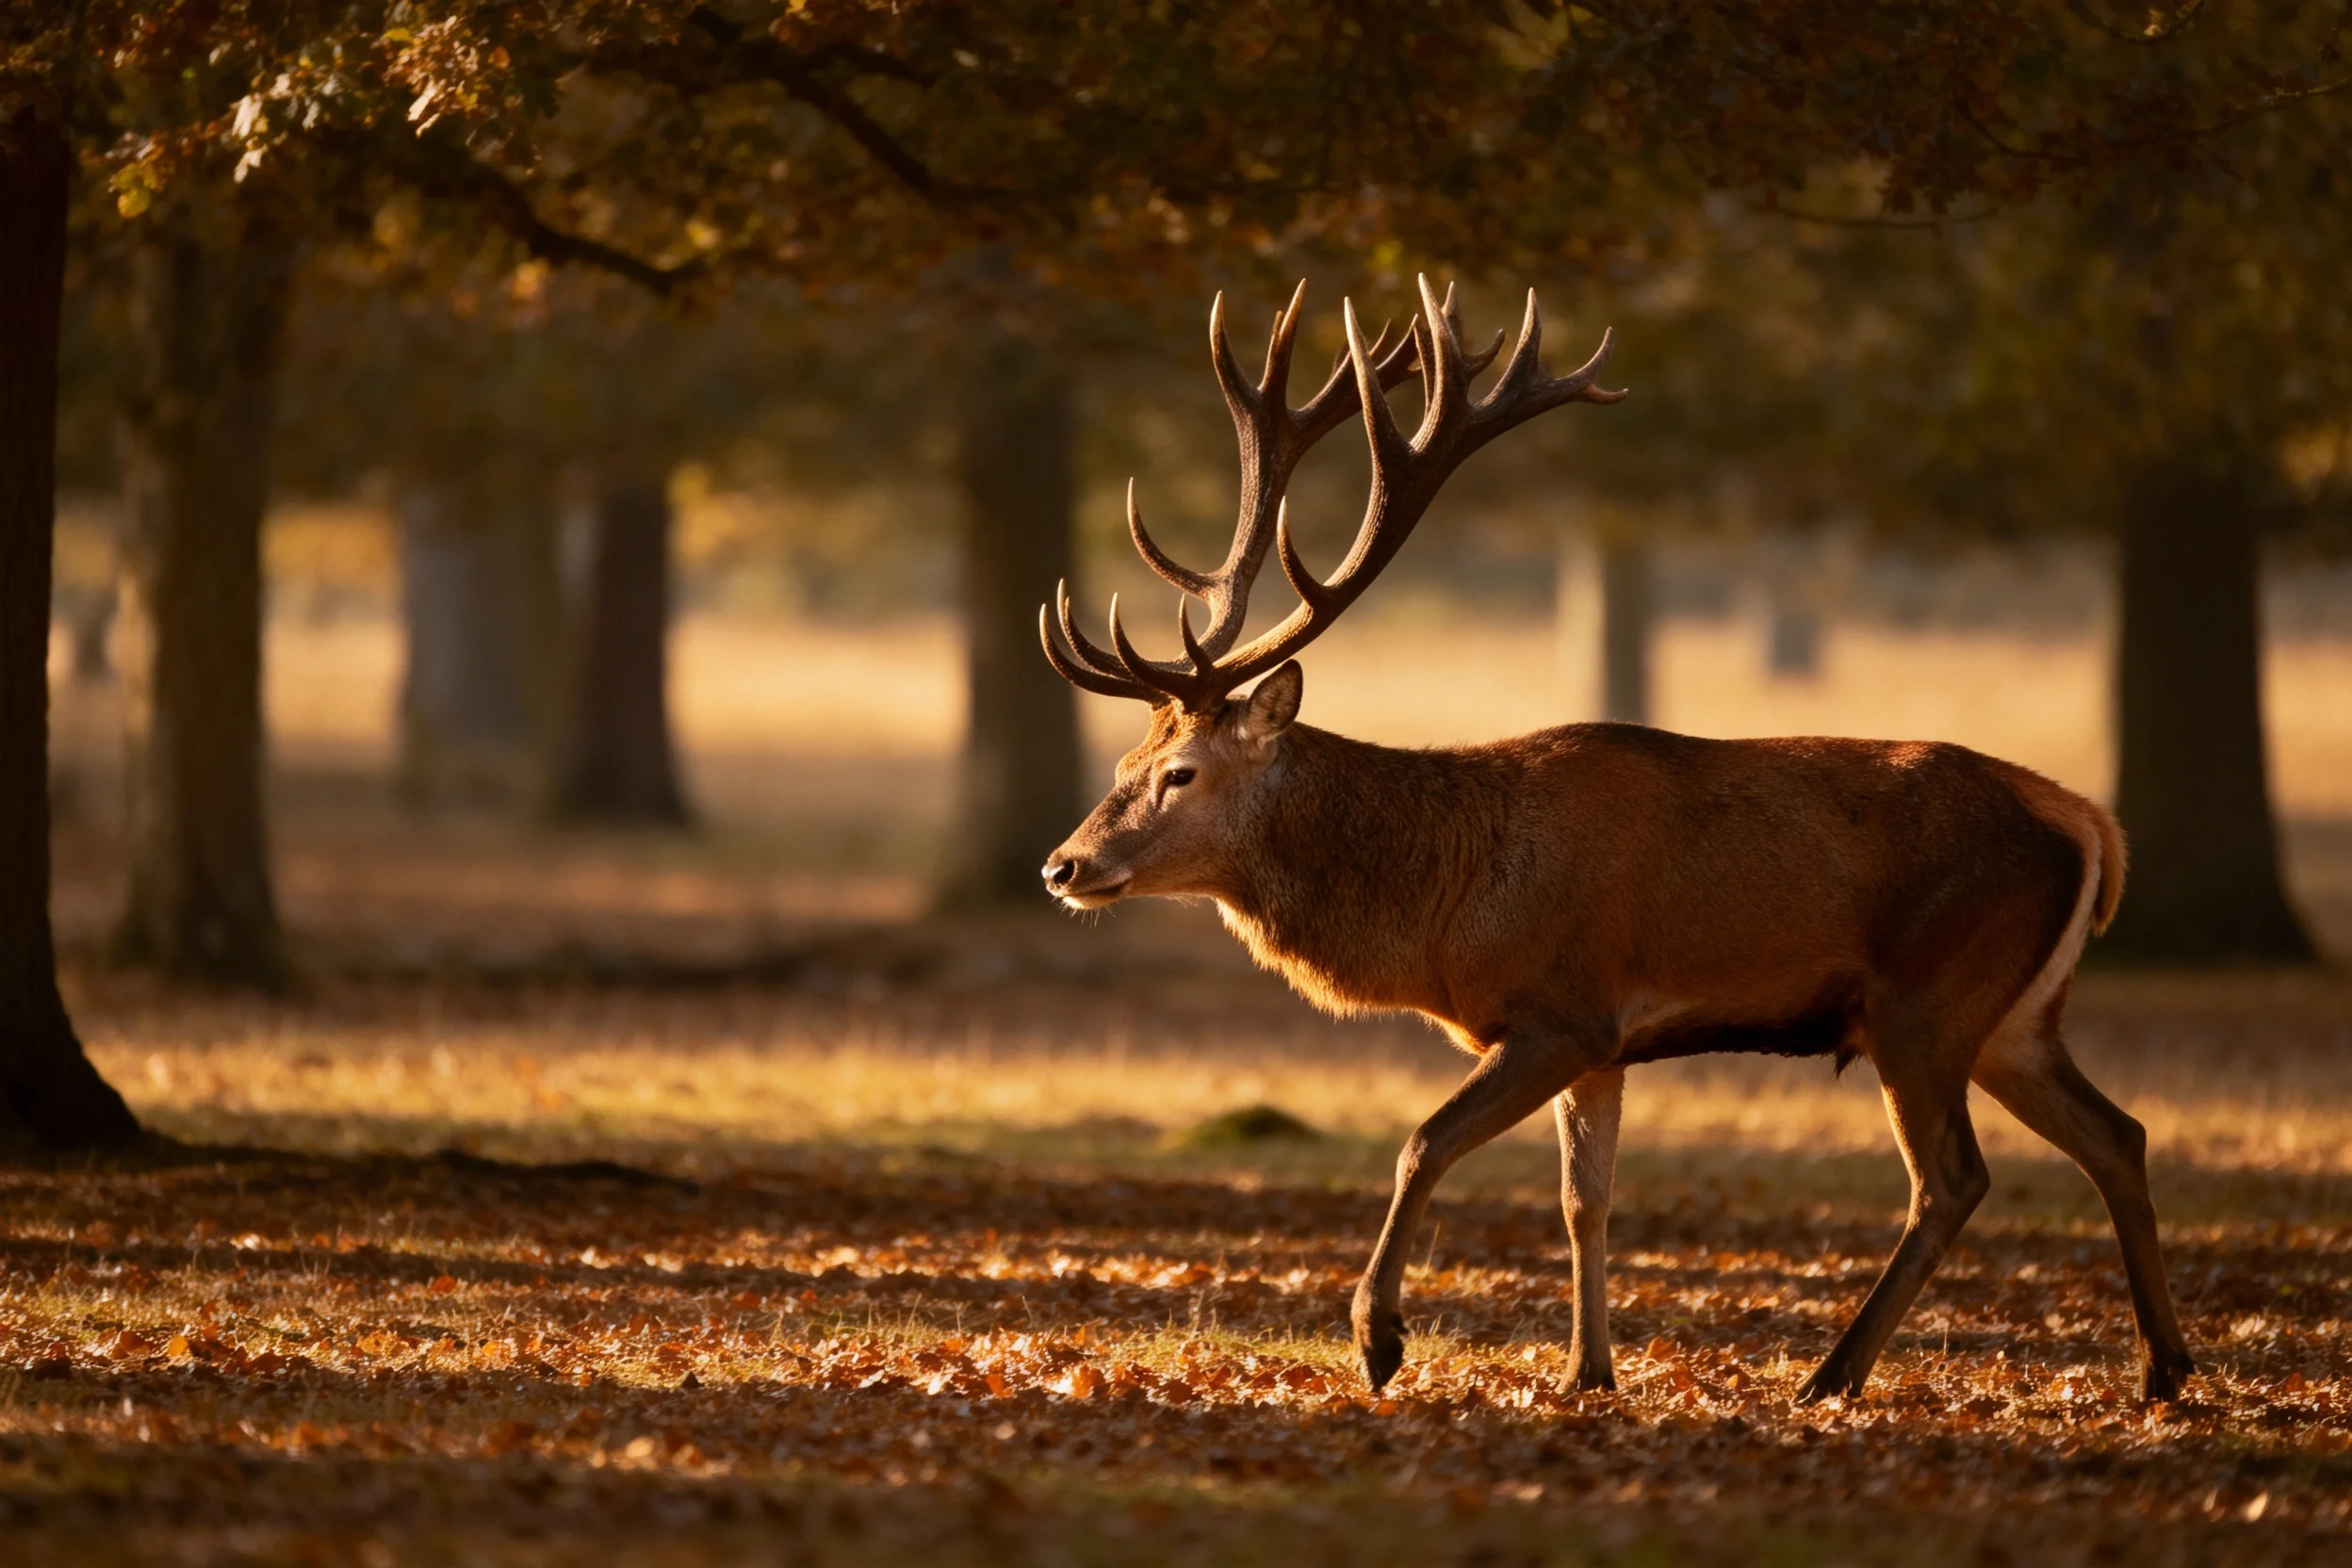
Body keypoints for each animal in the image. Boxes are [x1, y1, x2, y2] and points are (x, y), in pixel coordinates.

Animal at [1035, 276, 2197, 1405]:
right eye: (1123, 761)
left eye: (1180, 772)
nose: (1064, 865)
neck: (1449, 912)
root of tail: (2089, 822)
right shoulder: (1605, 1045)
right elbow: (1583, 1199)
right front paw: (1586, 1370)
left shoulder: (1562, 1009)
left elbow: (1422, 1140)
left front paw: (1379, 1338)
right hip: (2014, 1017)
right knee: (2118, 1133)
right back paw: (2164, 1366)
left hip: (1926, 998)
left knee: (1953, 1178)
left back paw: (1834, 1373)